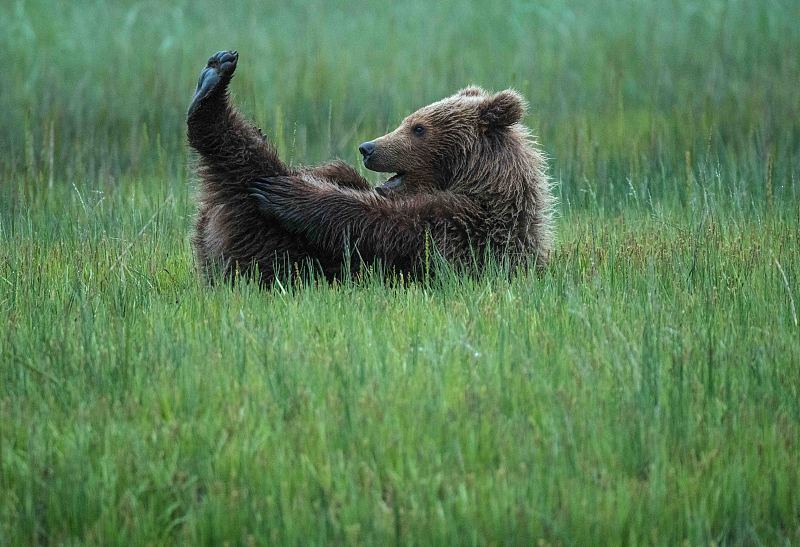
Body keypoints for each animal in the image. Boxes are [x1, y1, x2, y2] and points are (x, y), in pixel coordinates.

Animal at [187, 50, 552, 286]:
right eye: (408, 120)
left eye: (418, 128)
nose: (368, 148)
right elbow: (347, 180)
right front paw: (329, 175)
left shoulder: (467, 230)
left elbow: (382, 225)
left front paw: (294, 195)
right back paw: (214, 75)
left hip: (282, 255)